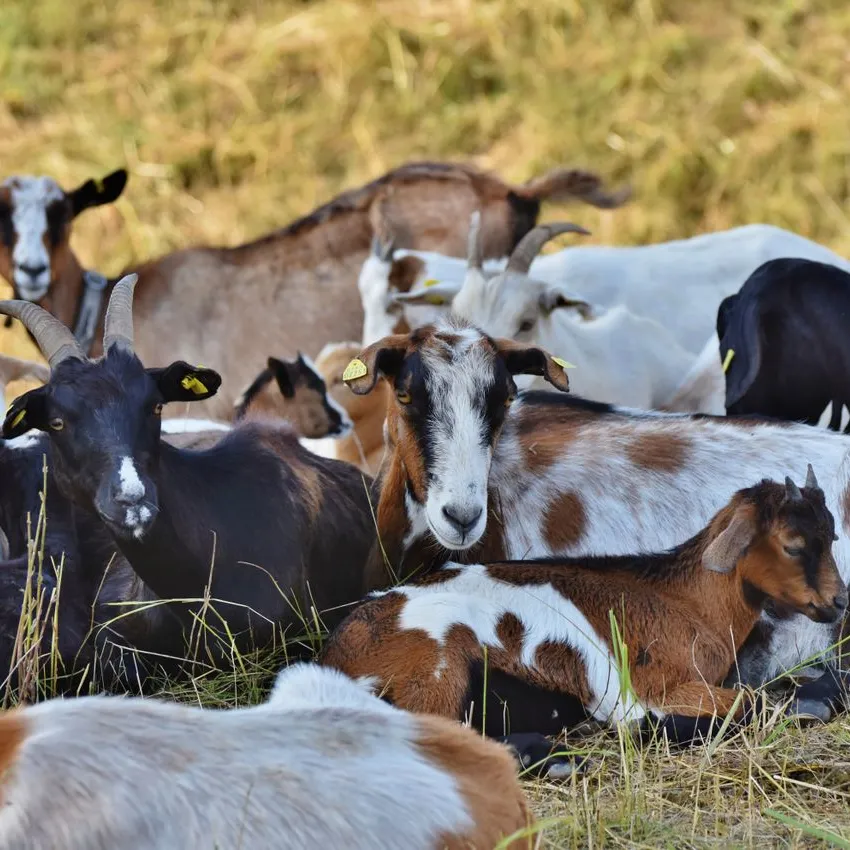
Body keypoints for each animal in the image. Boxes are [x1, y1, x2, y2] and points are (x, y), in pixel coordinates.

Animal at [323, 472, 846, 766]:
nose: (840, 601)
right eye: (793, 545)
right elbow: (750, 703)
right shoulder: (654, 688)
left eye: (833, 535)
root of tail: (338, 655)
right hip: (437, 664)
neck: (686, 600)